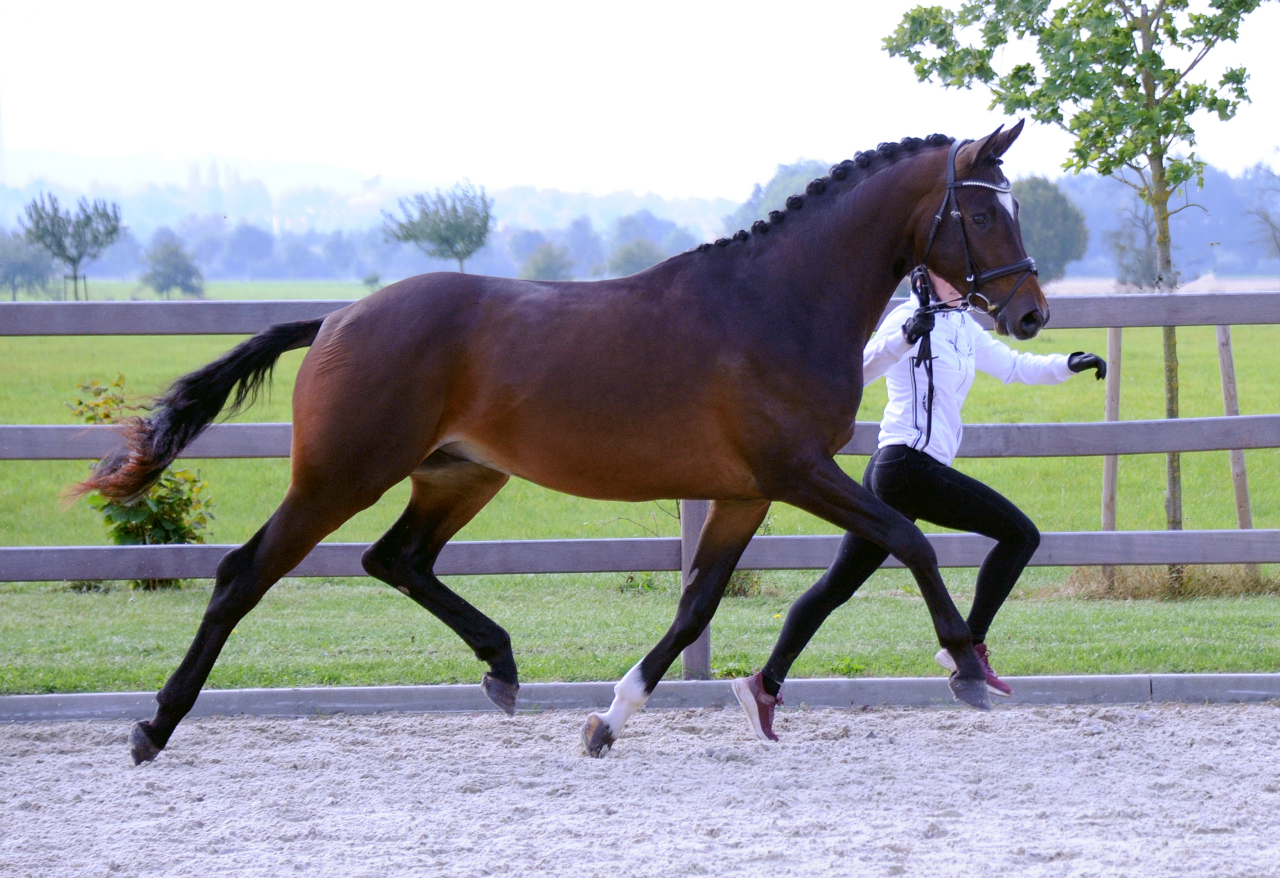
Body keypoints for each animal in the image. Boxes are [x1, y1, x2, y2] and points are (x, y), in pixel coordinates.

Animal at [74, 122, 1044, 762]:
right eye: (983, 216)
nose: (1031, 313)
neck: (775, 303)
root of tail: (339, 318)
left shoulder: (746, 490)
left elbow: (696, 605)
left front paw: (608, 720)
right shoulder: (796, 470)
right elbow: (910, 538)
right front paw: (967, 665)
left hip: (459, 477)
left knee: (397, 559)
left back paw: (502, 667)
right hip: (339, 477)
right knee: (244, 575)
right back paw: (154, 725)